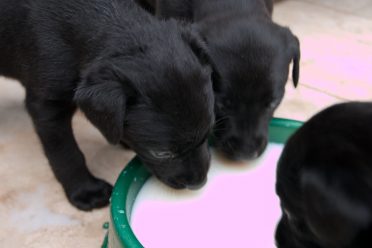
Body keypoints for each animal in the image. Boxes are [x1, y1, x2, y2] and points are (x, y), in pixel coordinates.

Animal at [0, 0, 215, 210]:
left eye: (208, 134)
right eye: (162, 153)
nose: (199, 183)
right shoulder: (47, 106)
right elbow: (66, 152)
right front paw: (86, 190)